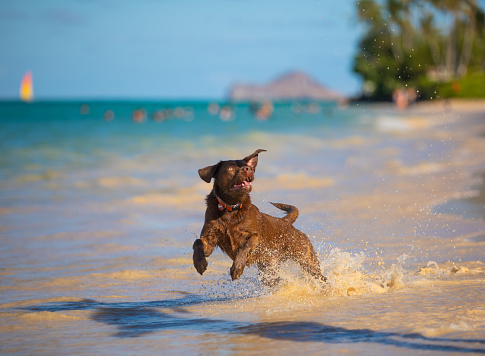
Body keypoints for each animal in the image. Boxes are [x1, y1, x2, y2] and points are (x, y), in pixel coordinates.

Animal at [192, 149, 326, 286]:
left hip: (306, 259)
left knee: (321, 277)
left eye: (248, 167)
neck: (231, 209)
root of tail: (285, 222)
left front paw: (237, 268)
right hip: (268, 271)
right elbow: (197, 242)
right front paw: (199, 263)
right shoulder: (210, 238)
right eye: (230, 168)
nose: (248, 169)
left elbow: (245, 245)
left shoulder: (256, 237)